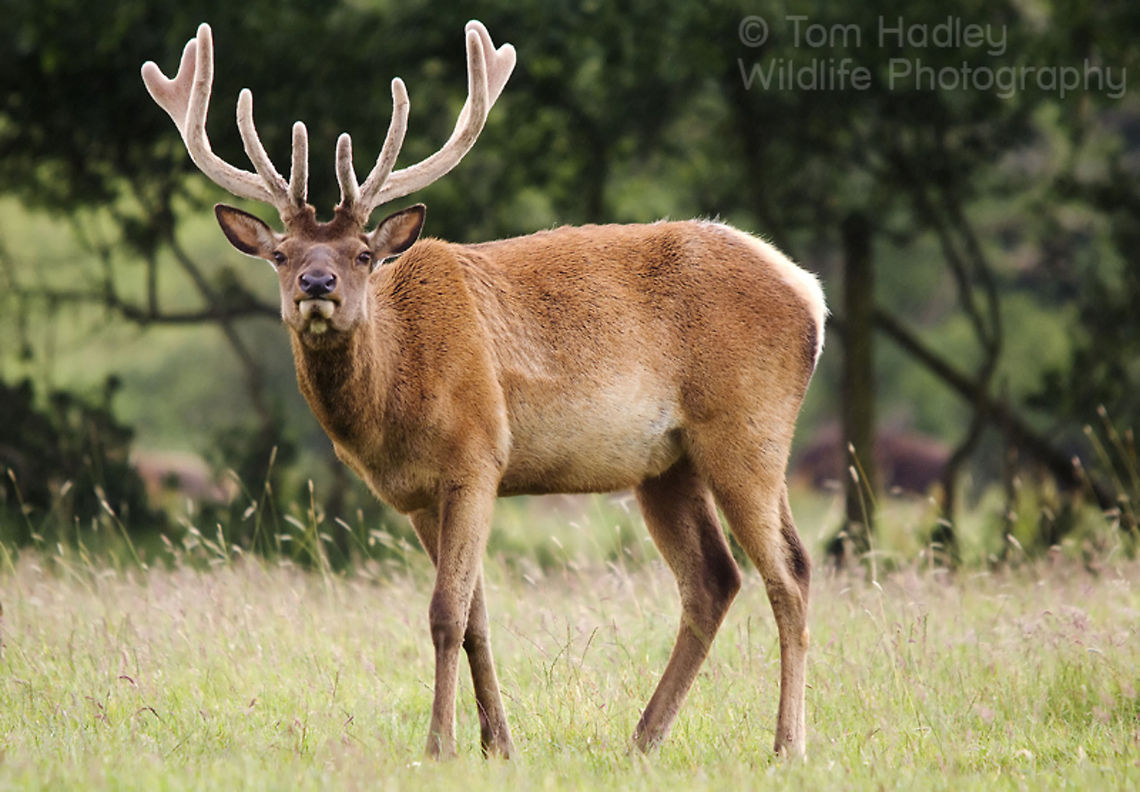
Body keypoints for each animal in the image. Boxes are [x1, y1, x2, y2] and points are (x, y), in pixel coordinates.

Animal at [141, 21, 826, 760]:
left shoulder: (477, 454)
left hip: (747, 427)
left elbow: (444, 612)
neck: (395, 395)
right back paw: (642, 739)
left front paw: (439, 743)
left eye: (362, 254)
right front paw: (497, 743)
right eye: (281, 254)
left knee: (789, 571)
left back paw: (786, 744)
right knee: (713, 579)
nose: (316, 285)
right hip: (666, 465)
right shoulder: (415, 494)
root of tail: (810, 294)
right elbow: (473, 617)